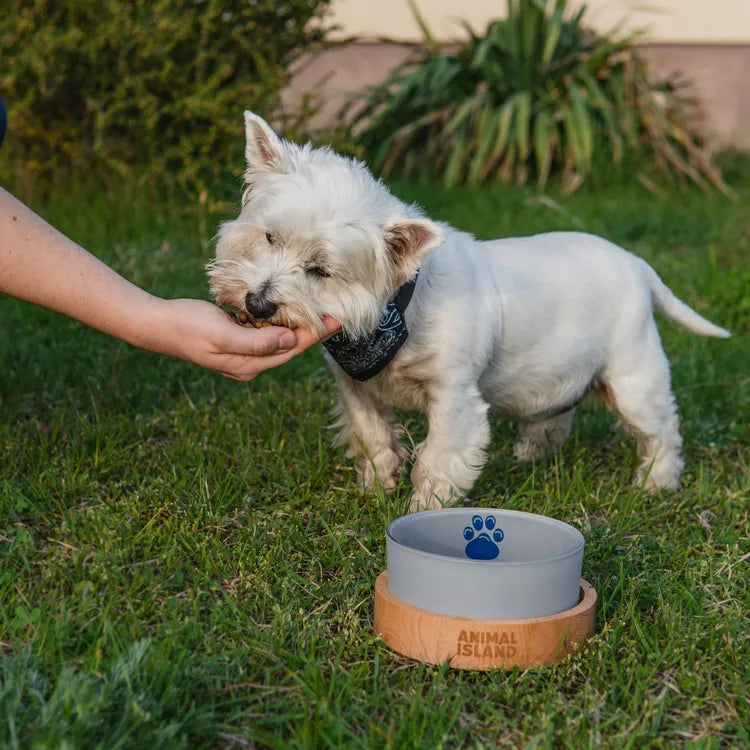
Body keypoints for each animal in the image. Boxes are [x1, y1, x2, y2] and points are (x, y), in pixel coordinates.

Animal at [209, 111, 732, 516]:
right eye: (269, 237)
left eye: (320, 270)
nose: (257, 303)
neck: (398, 313)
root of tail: (638, 265)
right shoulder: (354, 386)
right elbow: (372, 435)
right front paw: (377, 486)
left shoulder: (454, 396)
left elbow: (440, 457)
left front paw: (422, 509)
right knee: (559, 412)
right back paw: (533, 452)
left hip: (633, 373)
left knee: (661, 429)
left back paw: (655, 484)